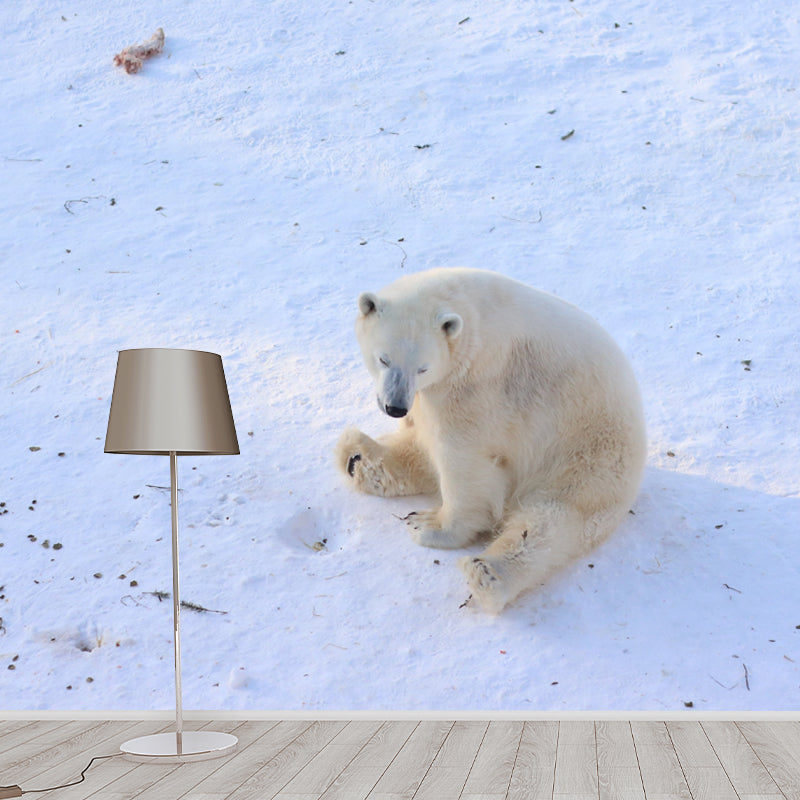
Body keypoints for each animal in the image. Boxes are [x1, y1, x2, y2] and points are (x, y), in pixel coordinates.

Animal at [336, 267, 646, 613]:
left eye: (422, 367)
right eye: (384, 359)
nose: (395, 407)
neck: (469, 317)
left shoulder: (479, 387)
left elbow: (464, 461)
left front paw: (432, 528)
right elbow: (424, 436)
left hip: (586, 457)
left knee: (552, 521)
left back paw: (486, 573)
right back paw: (356, 458)